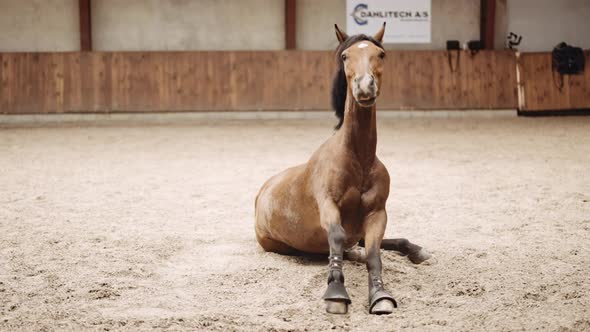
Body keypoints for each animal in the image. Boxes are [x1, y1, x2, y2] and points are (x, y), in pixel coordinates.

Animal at [253, 23, 430, 314]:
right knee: (346, 248)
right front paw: (336, 292)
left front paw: (380, 294)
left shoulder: (377, 213)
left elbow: (374, 254)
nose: (365, 87)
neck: (358, 159)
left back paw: (416, 250)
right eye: (345, 56)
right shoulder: (328, 206)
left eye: (381, 54)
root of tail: (262, 192)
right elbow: (337, 238)